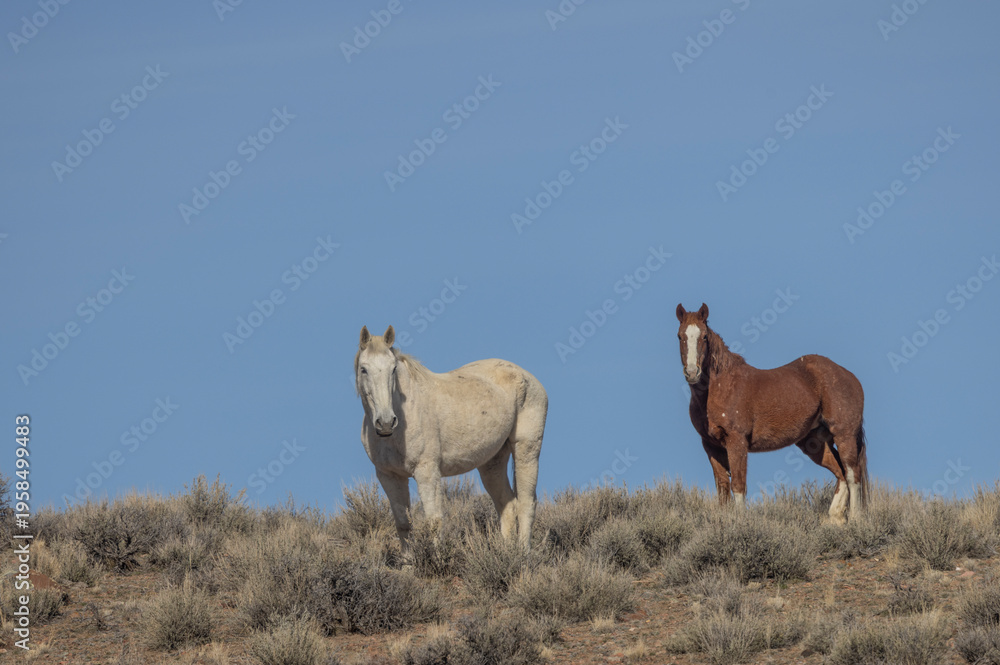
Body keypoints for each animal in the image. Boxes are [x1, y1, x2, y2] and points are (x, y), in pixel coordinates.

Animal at [354, 325, 548, 554]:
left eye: (393, 369)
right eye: (363, 369)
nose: (385, 423)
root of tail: (528, 377)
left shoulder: (427, 472)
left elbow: (434, 520)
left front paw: (436, 559)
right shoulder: (389, 476)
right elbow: (403, 524)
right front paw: (408, 562)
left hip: (527, 450)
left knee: (526, 503)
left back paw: (523, 554)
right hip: (492, 462)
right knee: (507, 504)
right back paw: (507, 553)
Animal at [675, 303, 868, 524]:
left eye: (705, 336)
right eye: (680, 336)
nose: (692, 372)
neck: (721, 387)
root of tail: (849, 376)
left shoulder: (737, 442)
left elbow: (738, 485)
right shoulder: (711, 446)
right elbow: (722, 486)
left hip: (844, 434)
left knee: (853, 474)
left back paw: (855, 519)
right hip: (815, 443)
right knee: (841, 473)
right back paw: (835, 519)